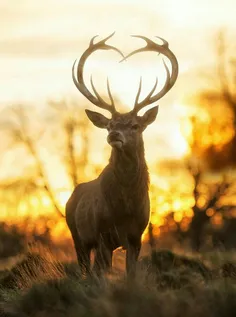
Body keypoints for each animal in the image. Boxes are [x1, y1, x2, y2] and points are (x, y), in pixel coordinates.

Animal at [65, 32, 178, 276]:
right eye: (109, 125)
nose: (114, 134)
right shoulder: (102, 235)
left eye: (135, 125)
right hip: (76, 235)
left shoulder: (137, 236)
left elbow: (131, 275)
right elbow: (102, 274)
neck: (125, 207)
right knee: (85, 269)